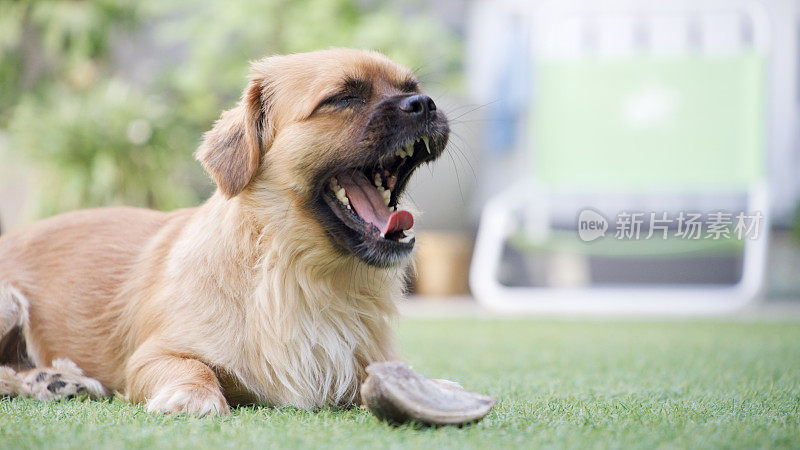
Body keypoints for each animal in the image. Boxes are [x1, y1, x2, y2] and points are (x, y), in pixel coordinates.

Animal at [0, 48, 450, 414]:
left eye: (412, 88)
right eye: (343, 98)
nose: (424, 103)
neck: (295, 275)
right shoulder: (151, 357)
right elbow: (193, 367)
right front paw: (193, 396)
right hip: (9, 301)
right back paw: (49, 380)